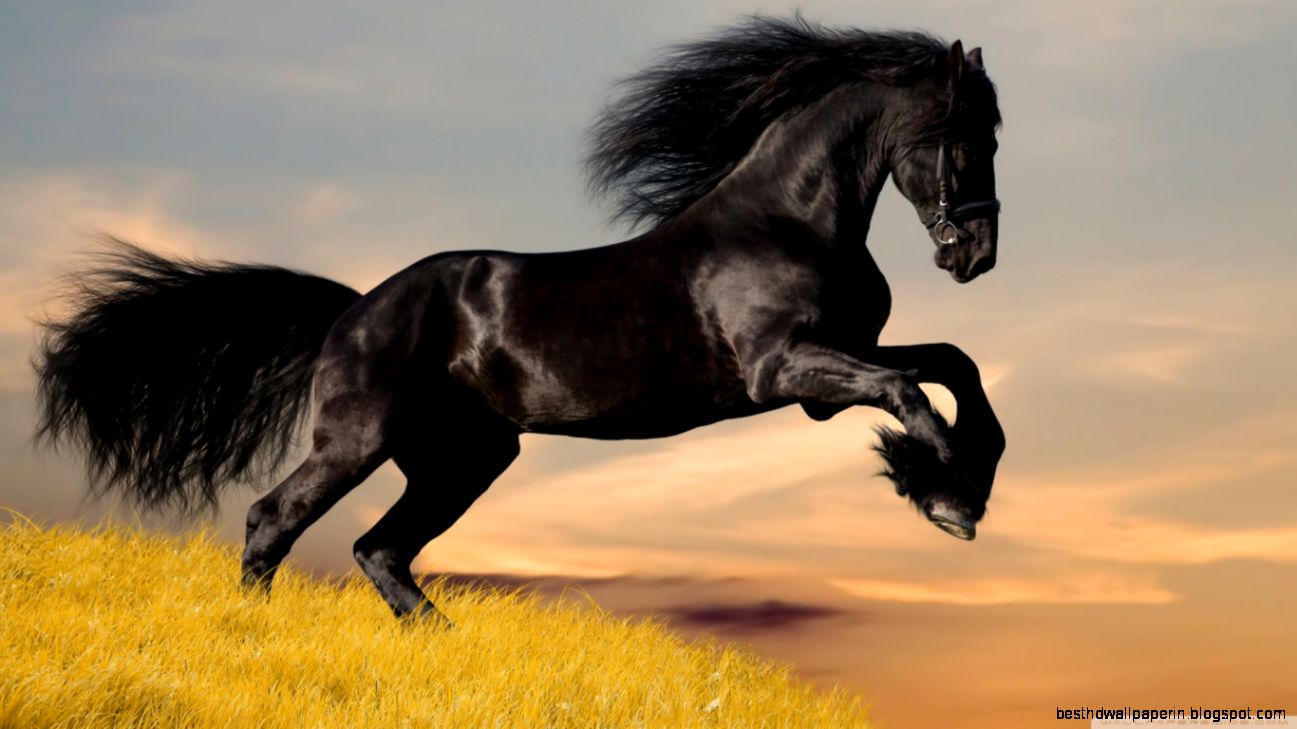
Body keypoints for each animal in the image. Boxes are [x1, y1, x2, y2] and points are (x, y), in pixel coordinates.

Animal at [35, 16, 1005, 621]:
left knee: (379, 548)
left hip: (463, 457)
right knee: (276, 519)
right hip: (360, 439)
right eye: (965, 136)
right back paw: (258, 629)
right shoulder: (786, 371)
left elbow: (951, 364)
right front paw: (944, 496)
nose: (975, 255)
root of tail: (354, 309)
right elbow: (909, 390)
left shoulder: (833, 365)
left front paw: (956, 482)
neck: (786, 219)